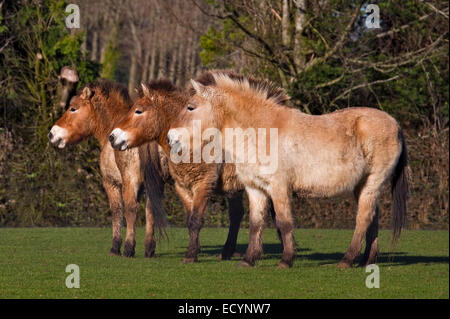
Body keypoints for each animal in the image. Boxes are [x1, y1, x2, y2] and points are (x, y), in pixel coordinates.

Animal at [48, 81, 167, 258]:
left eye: (73, 108)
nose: (51, 134)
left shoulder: (111, 183)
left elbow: (117, 211)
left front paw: (115, 247)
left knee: (131, 209)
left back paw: (128, 248)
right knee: (151, 209)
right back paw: (149, 249)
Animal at [107, 76, 280, 264]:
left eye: (138, 111)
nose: (112, 136)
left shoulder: (203, 184)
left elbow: (196, 220)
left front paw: (191, 255)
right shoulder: (182, 186)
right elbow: (190, 220)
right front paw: (193, 251)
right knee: (239, 214)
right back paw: (229, 251)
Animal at [167, 73, 410, 270]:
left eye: (190, 107)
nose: (170, 138)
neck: (261, 130)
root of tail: (396, 125)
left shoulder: (279, 187)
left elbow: (284, 223)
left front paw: (286, 260)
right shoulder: (255, 189)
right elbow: (256, 224)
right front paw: (248, 260)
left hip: (372, 183)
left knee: (363, 219)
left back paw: (347, 260)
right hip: (364, 187)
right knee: (372, 220)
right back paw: (367, 260)